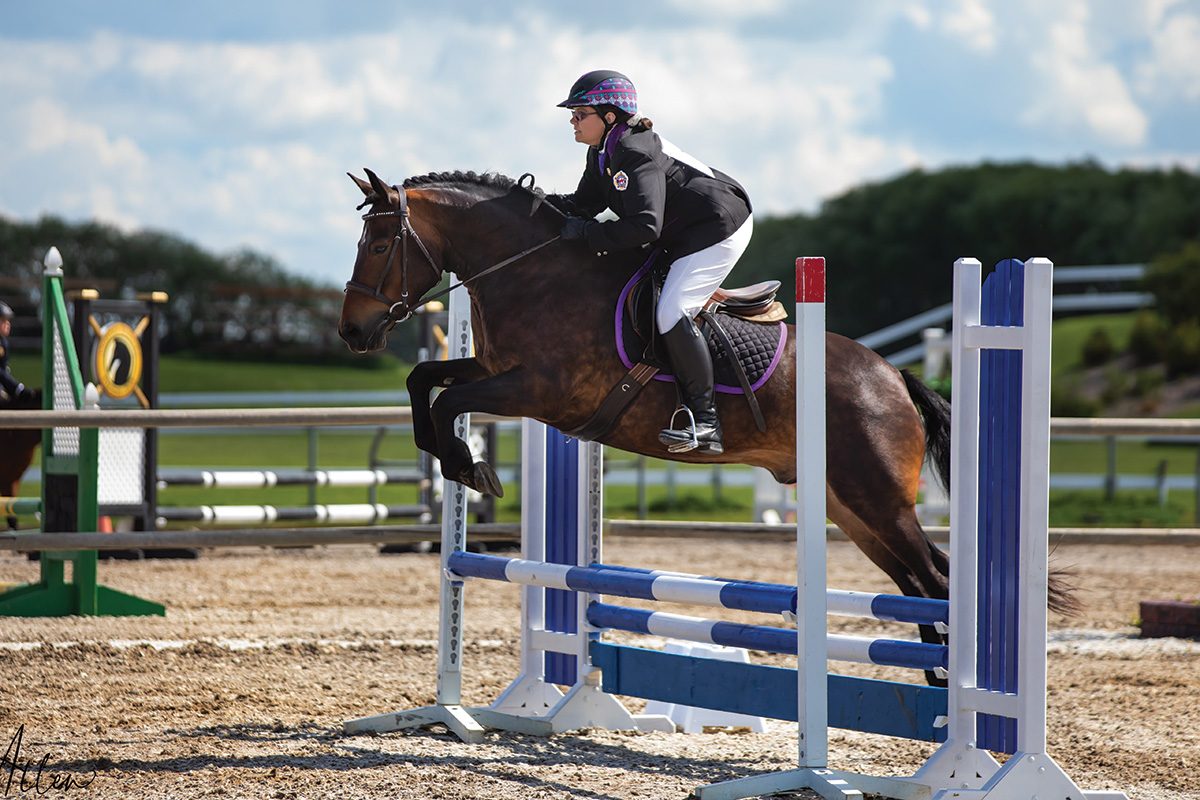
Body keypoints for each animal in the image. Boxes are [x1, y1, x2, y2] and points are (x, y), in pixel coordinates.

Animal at [336, 169, 1080, 681]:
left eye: (379, 242)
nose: (352, 333)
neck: (536, 273)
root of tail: (893, 376)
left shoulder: (539, 392)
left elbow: (445, 402)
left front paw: (469, 467)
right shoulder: (494, 372)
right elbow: (425, 382)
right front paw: (454, 461)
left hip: (879, 502)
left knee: (936, 586)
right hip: (852, 509)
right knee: (916, 588)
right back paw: (933, 684)